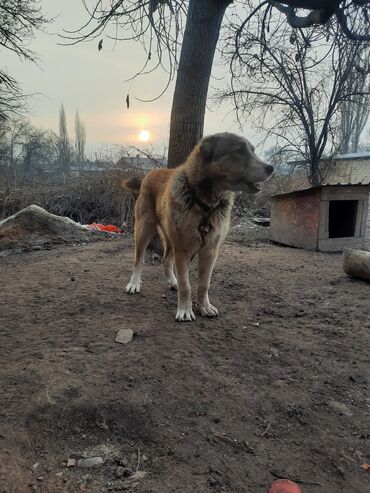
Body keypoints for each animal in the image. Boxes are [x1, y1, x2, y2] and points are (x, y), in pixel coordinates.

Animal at [122, 133, 272, 320]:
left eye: (252, 151)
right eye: (238, 151)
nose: (271, 168)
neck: (204, 204)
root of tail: (149, 174)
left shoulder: (210, 251)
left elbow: (204, 284)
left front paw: (204, 307)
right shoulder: (183, 249)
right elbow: (186, 285)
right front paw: (185, 310)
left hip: (171, 238)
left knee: (166, 261)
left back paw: (173, 282)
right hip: (144, 229)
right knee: (139, 260)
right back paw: (134, 283)